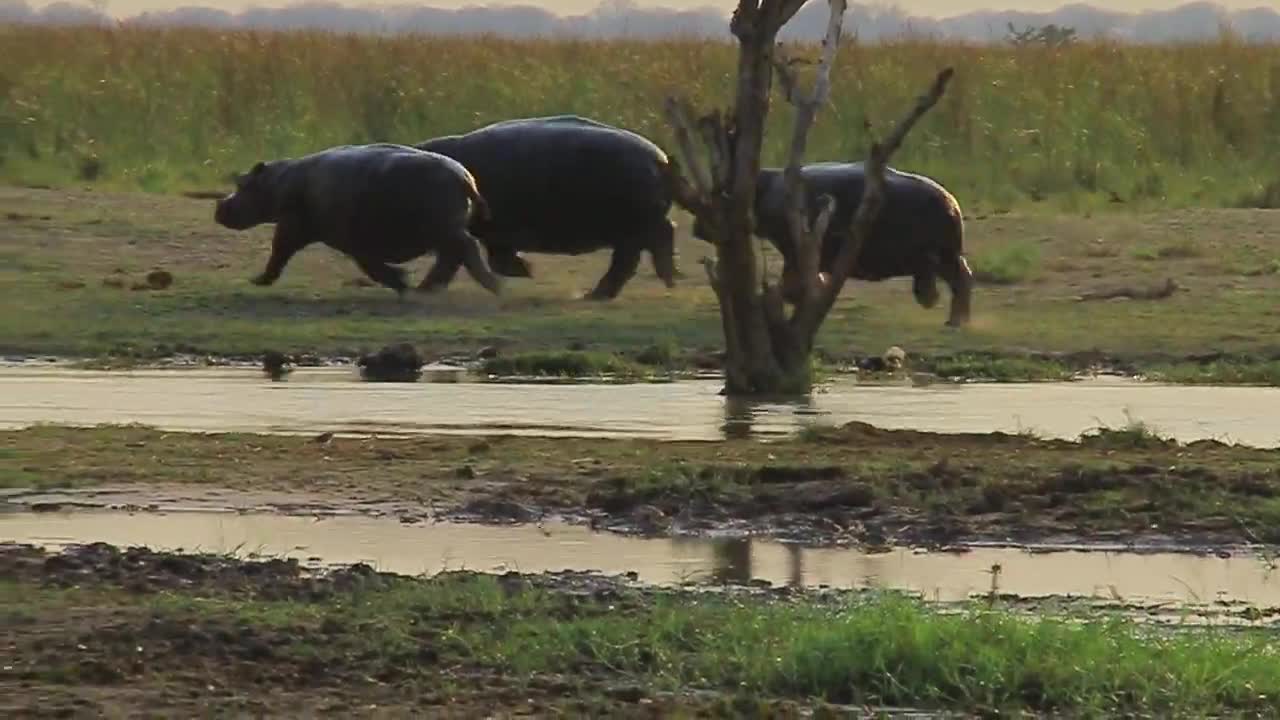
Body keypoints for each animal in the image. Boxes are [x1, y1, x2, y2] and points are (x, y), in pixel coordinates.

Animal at [215, 142, 499, 294]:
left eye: (242, 184)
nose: (220, 206)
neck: (275, 183)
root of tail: (464, 177)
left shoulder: (294, 226)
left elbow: (278, 252)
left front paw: (256, 280)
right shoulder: (354, 240)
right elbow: (371, 265)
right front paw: (402, 282)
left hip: (444, 230)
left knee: (463, 250)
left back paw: (488, 286)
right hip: (445, 231)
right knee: (454, 256)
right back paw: (430, 288)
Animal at [417, 115, 680, 299]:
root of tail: (660, 158)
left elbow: (486, 260)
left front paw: (527, 270)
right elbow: (473, 259)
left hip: (631, 227)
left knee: (634, 254)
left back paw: (599, 294)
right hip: (635, 227)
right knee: (654, 241)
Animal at [696, 162, 972, 325]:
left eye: (720, 193)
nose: (697, 226)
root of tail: (953, 203)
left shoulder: (793, 247)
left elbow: (793, 278)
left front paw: (799, 293)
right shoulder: (796, 250)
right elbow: (795, 277)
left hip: (941, 252)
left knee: (958, 278)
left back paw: (951, 317)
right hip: (945, 254)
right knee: (961, 276)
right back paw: (951, 317)